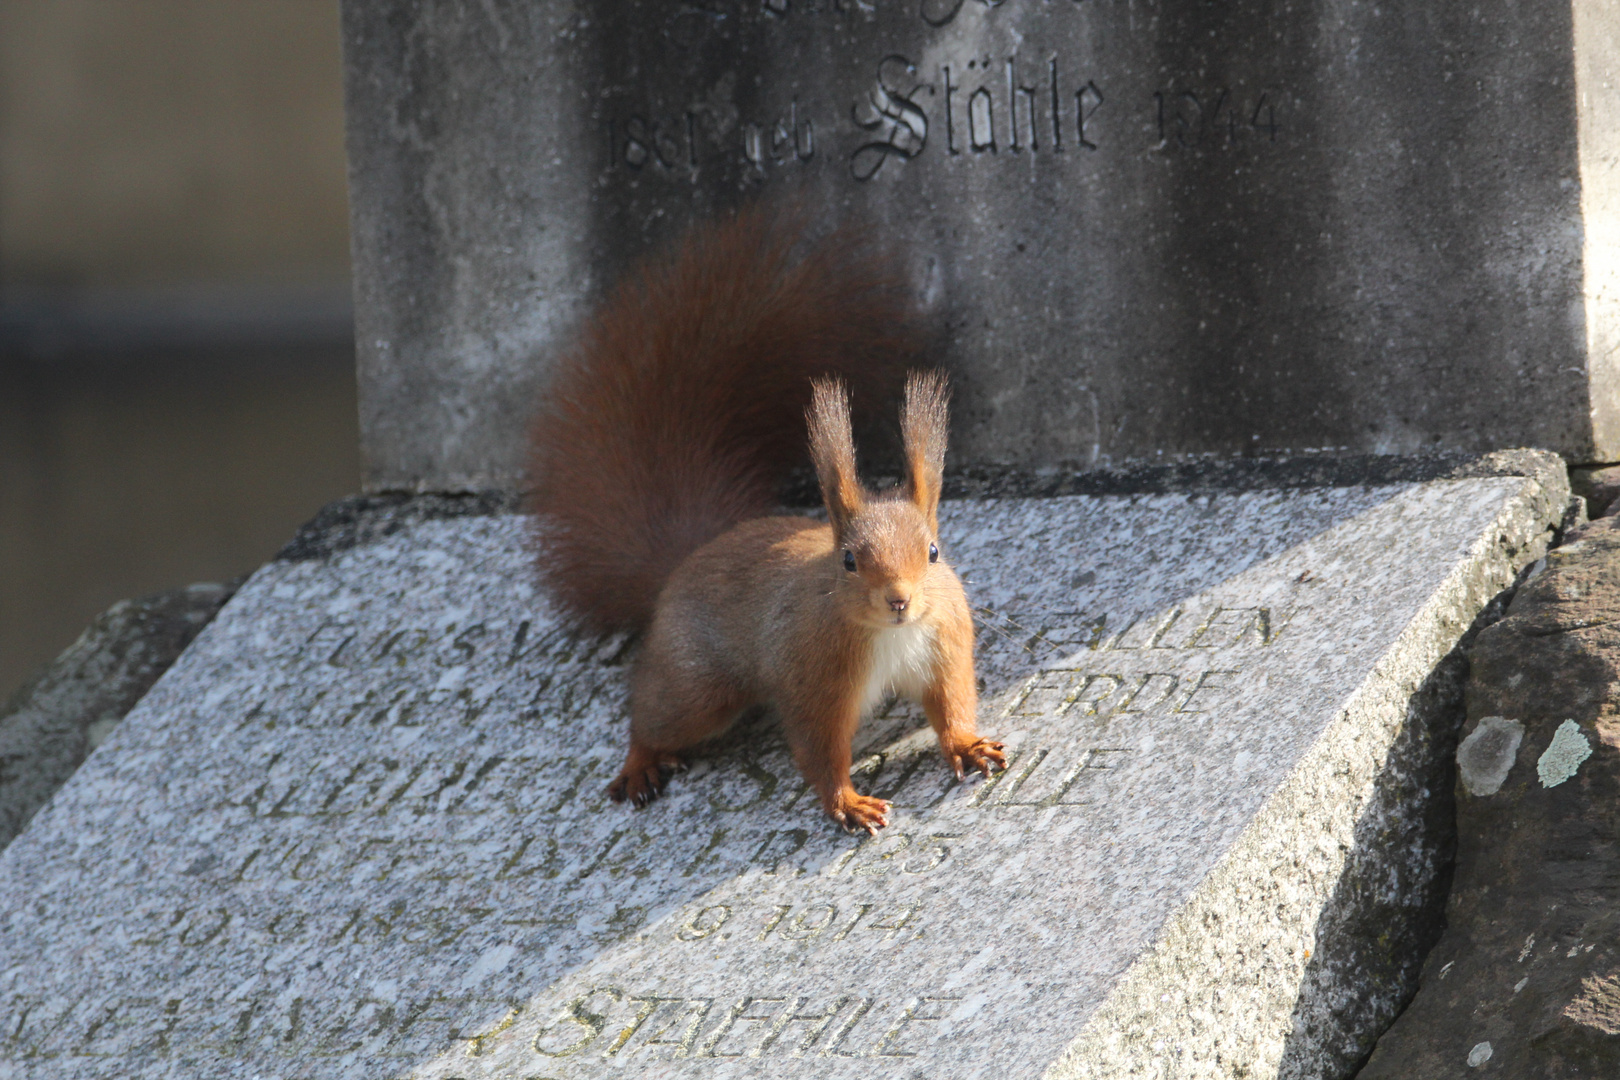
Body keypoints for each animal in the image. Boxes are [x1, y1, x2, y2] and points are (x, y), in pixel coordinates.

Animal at [528, 210, 997, 835]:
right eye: (849, 560)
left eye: (934, 552)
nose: (899, 600)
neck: (889, 636)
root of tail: (686, 561)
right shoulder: (811, 676)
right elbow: (819, 747)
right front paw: (848, 802)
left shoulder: (945, 644)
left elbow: (951, 704)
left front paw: (968, 744)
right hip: (697, 684)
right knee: (651, 713)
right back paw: (640, 763)